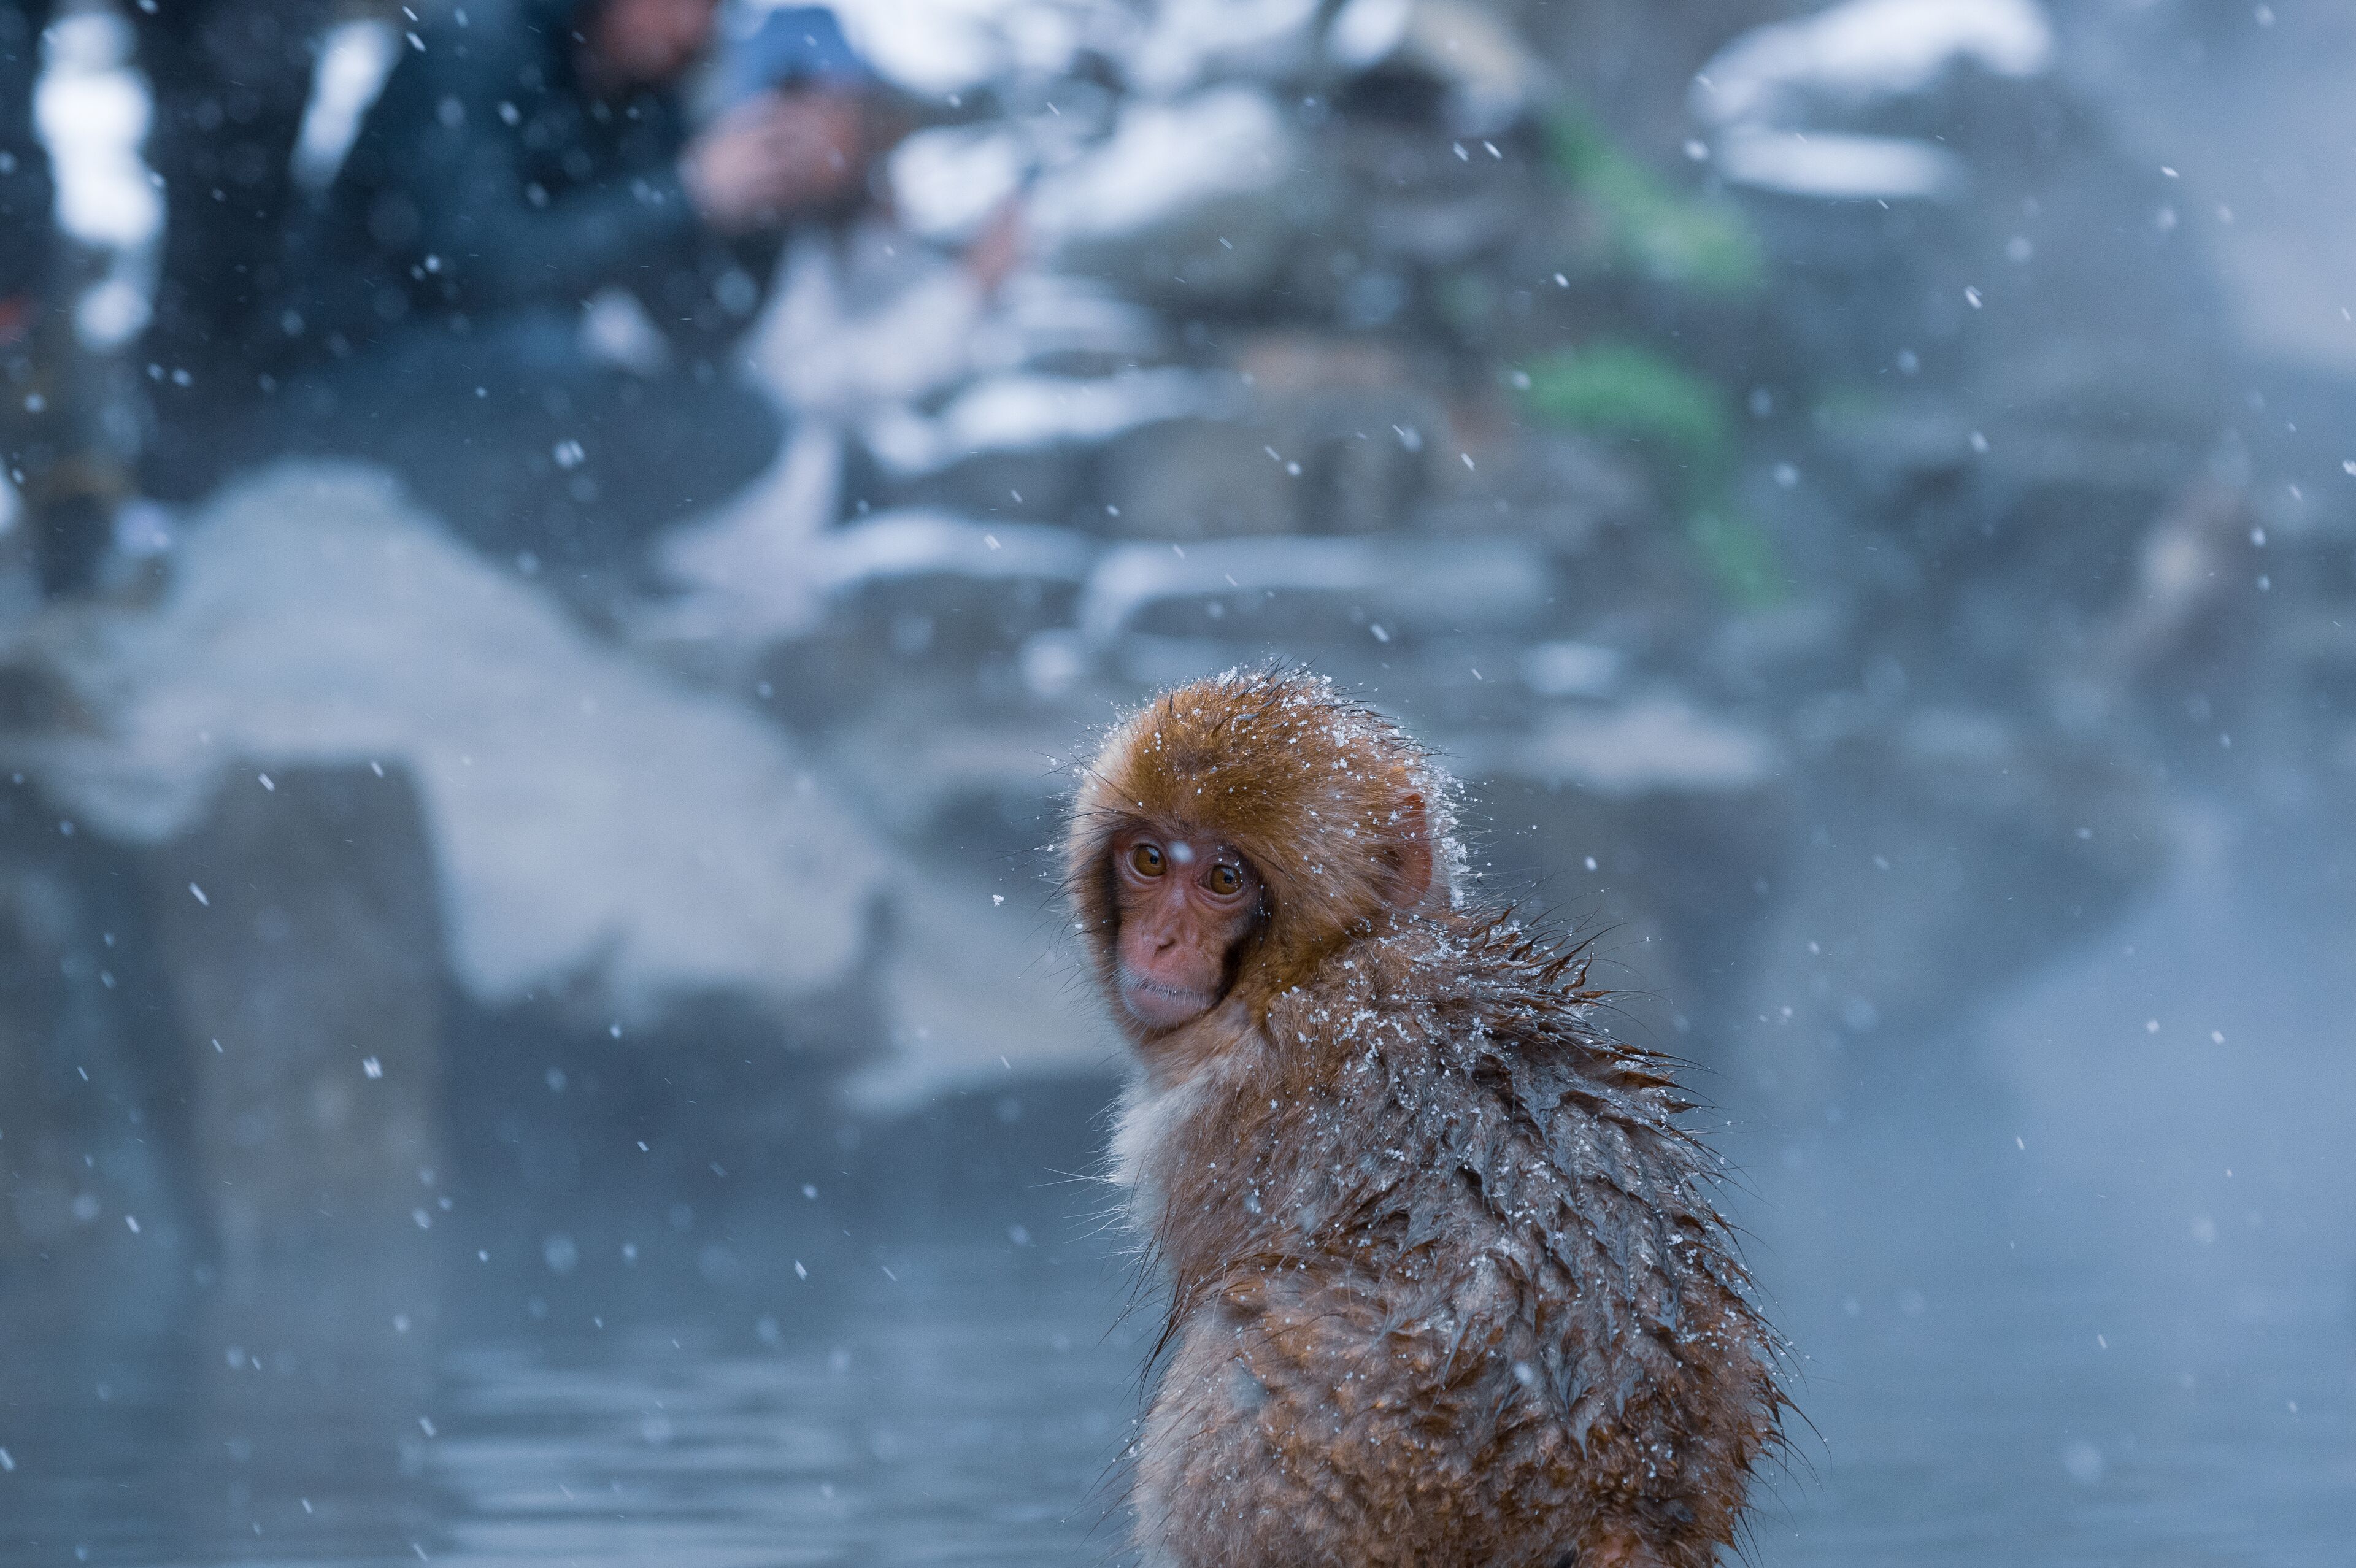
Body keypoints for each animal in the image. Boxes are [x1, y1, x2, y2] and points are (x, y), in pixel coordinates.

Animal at [1064, 668, 1786, 1568]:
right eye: (1150, 859)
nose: (1158, 942)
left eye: (1224, 880)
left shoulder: (1223, 1112)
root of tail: (1617, 1503)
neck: (1327, 958)